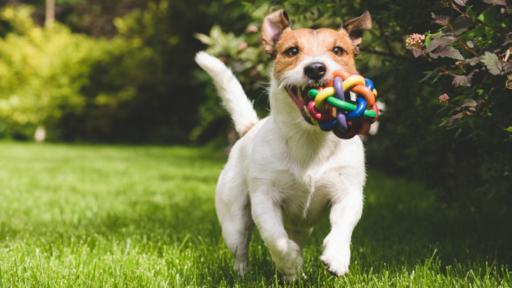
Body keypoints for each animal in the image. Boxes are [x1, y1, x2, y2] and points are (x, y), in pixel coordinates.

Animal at [195, 9, 372, 280]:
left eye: (338, 50)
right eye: (292, 51)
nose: (316, 68)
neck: (309, 139)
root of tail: (250, 128)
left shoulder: (348, 193)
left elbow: (343, 226)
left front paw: (337, 257)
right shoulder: (264, 199)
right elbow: (275, 239)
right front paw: (290, 261)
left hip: (302, 227)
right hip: (234, 219)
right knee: (241, 247)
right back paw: (247, 273)